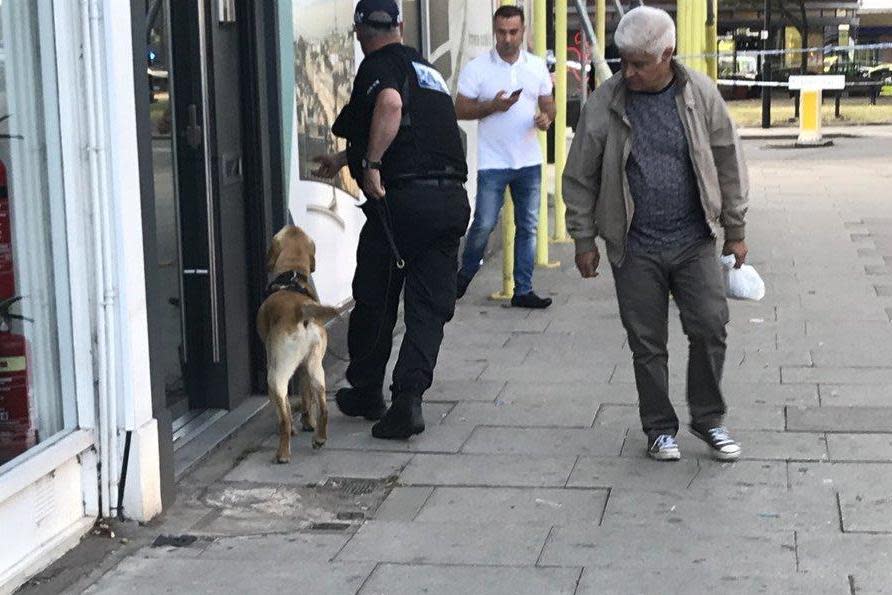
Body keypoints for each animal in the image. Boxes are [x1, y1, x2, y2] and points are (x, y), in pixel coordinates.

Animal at [262, 226, 342, 464]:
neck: (291, 277)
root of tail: (301, 311)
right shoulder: (304, 369)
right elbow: (306, 398)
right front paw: (308, 423)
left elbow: (286, 408)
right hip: (316, 367)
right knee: (323, 406)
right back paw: (319, 438)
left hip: (276, 374)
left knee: (284, 419)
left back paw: (283, 453)